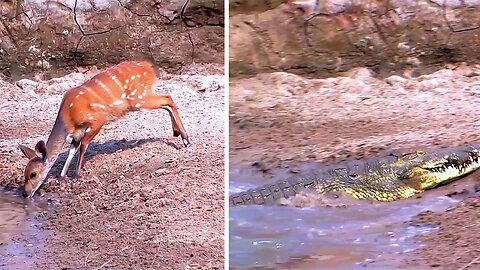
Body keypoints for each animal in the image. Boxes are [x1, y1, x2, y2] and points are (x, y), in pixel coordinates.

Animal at [18, 60, 191, 198]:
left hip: (138, 98)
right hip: (141, 98)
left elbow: (84, 145)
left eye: (33, 174)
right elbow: (72, 150)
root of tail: (148, 66)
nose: (26, 193)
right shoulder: (77, 133)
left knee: (167, 98)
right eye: (25, 173)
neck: (68, 117)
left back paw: (186, 140)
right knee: (166, 102)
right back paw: (177, 133)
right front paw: (62, 177)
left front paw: (77, 174)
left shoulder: (97, 120)